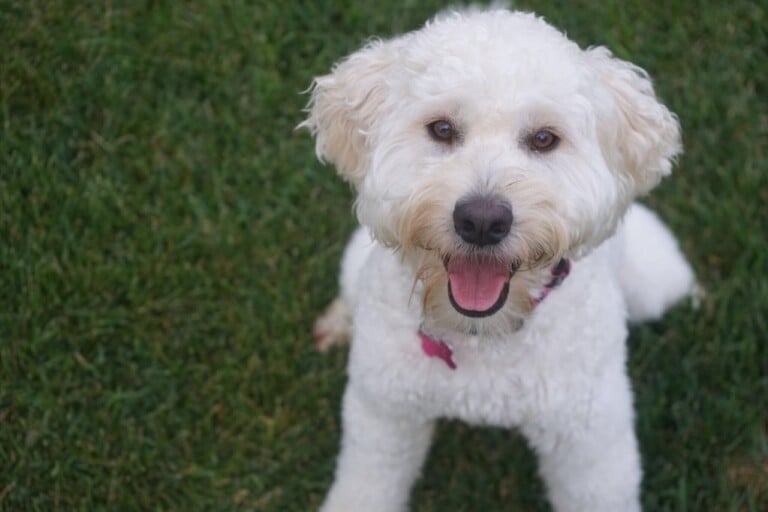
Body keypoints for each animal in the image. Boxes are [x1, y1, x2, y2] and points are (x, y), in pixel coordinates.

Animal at [304, 9, 692, 512]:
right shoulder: (382, 413)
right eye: (442, 129)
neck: (484, 336)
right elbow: (366, 484)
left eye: (544, 139)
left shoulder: (589, 440)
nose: (483, 222)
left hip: (654, 280)